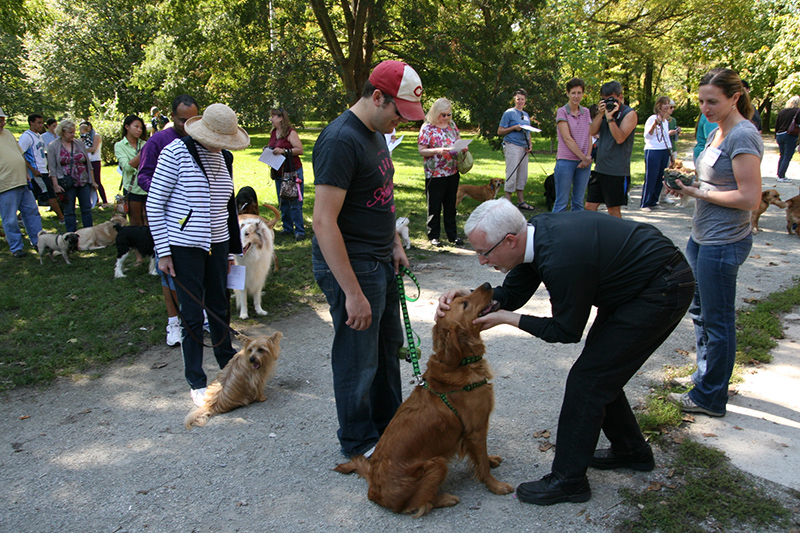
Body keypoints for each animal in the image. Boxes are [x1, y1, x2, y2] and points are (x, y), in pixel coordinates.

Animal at [332, 282, 512, 516]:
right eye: (465, 303)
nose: (489, 285)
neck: (460, 363)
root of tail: (373, 487)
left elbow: (481, 458)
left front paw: (491, 461)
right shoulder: (476, 430)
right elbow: (481, 463)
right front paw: (495, 486)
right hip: (438, 463)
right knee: (417, 505)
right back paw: (445, 498)